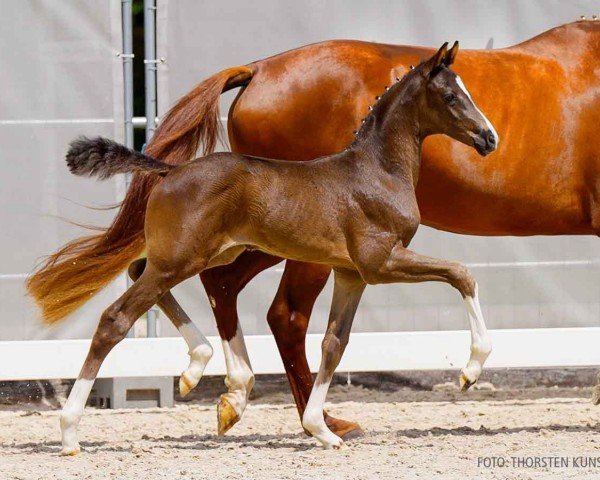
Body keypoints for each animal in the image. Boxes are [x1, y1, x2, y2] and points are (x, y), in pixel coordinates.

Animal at [59, 42, 496, 454]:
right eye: (451, 95)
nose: (489, 137)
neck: (377, 172)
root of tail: (171, 170)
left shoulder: (351, 275)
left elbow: (334, 344)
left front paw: (321, 430)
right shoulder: (381, 263)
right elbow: (462, 273)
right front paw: (471, 371)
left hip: (194, 254)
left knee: (148, 275)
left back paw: (197, 368)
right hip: (181, 259)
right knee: (116, 318)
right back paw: (69, 432)